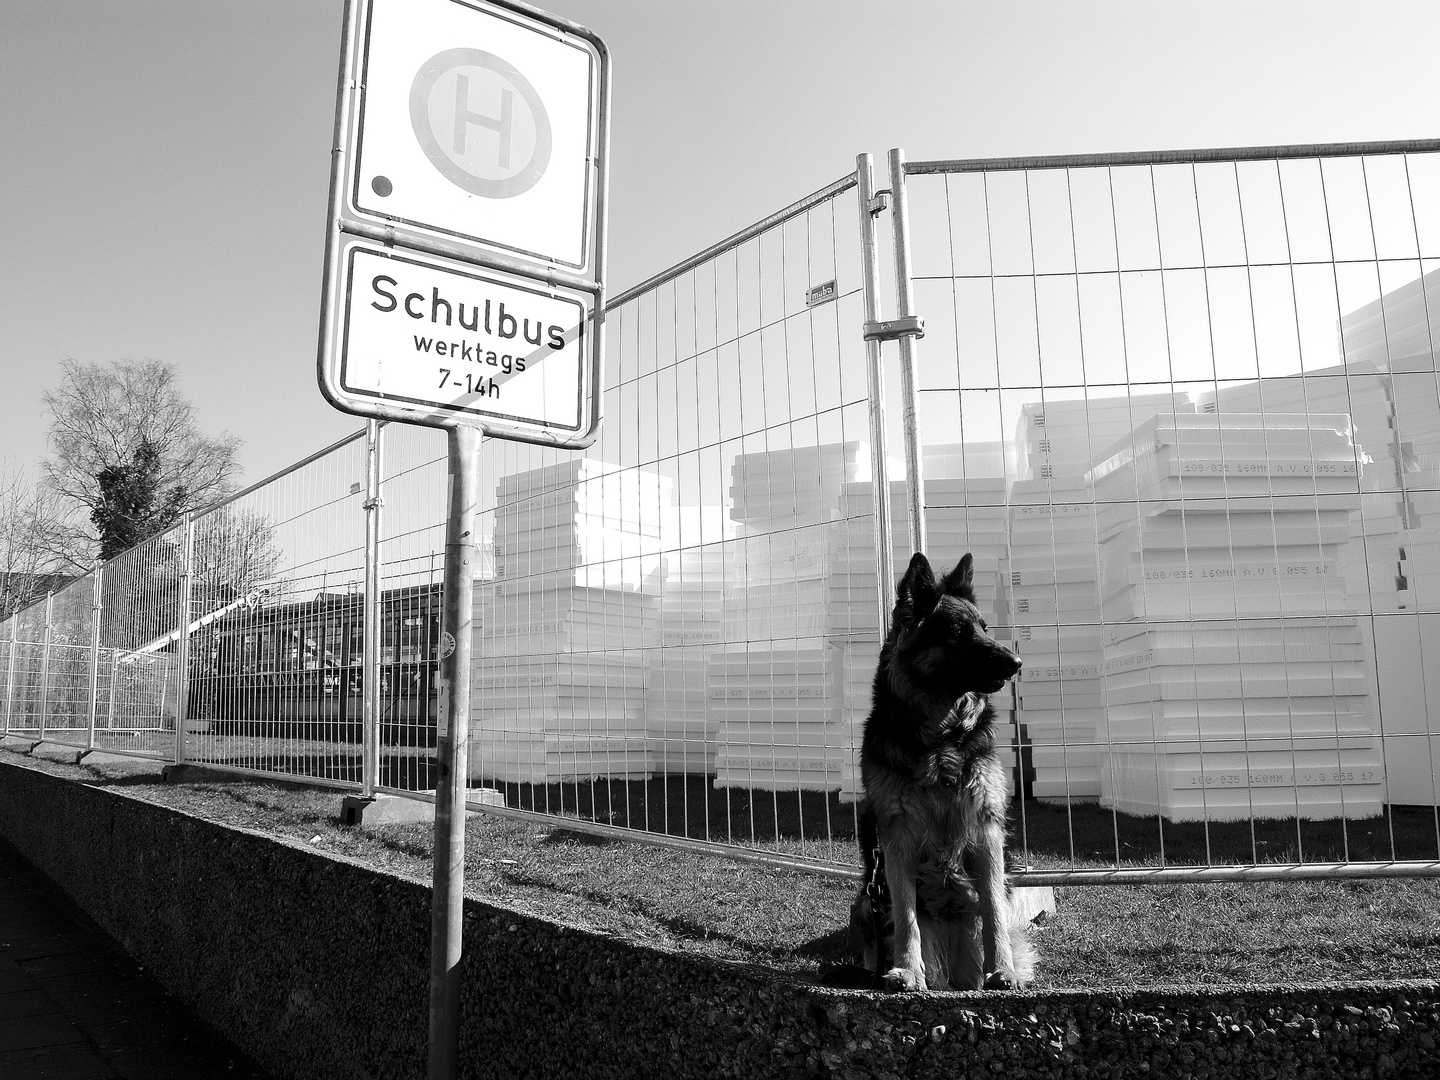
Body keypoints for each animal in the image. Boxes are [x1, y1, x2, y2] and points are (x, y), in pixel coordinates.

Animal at [846, 552, 1031, 996]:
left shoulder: (986, 829)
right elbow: (906, 913)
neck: (942, 739)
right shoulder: (896, 835)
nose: (1017, 663)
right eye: (960, 632)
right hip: (864, 901)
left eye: (984, 628)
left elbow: (994, 910)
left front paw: (1004, 971)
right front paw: (907, 970)